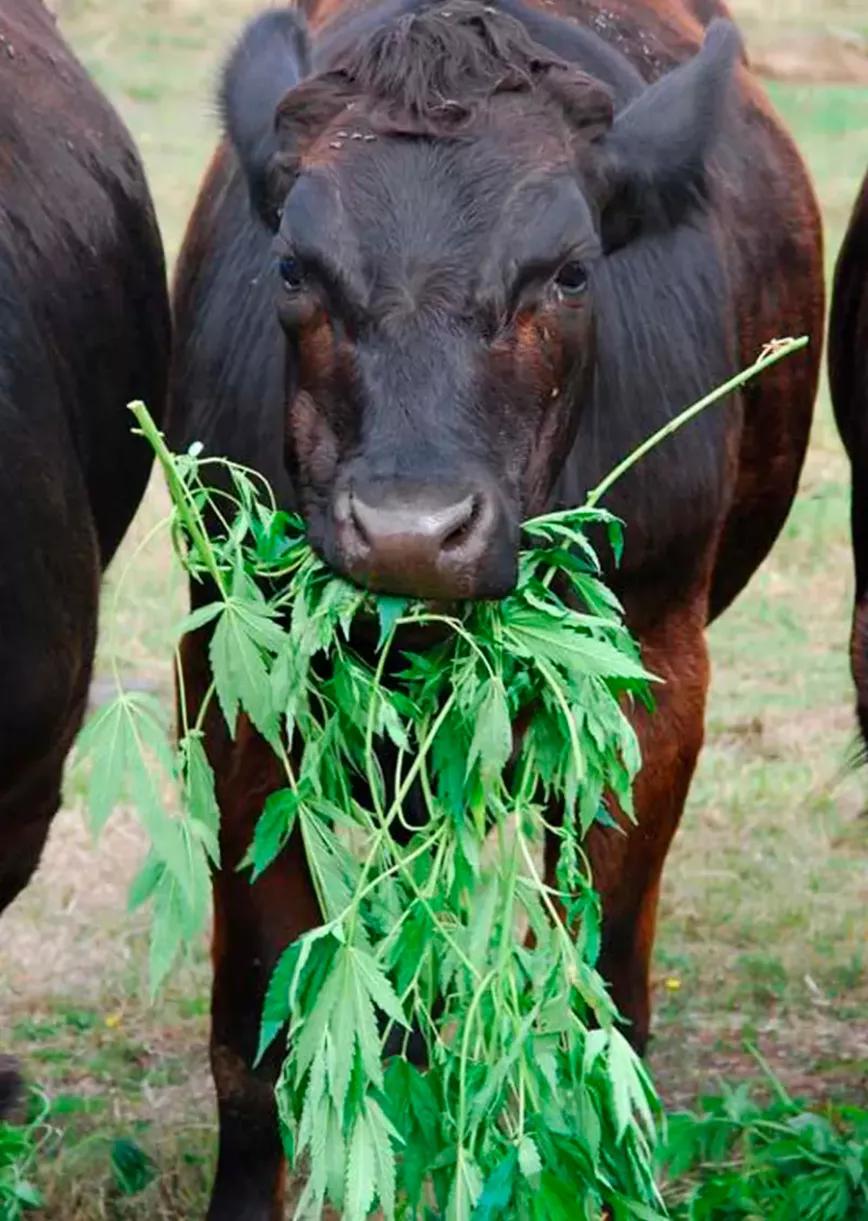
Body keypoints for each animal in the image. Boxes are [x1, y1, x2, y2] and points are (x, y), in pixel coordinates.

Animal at [169, 0, 823, 1215]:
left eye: (568, 274)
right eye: (291, 266)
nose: (410, 529)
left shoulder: (655, 682)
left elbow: (603, 1007)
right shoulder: (238, 672)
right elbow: (257, 1032)